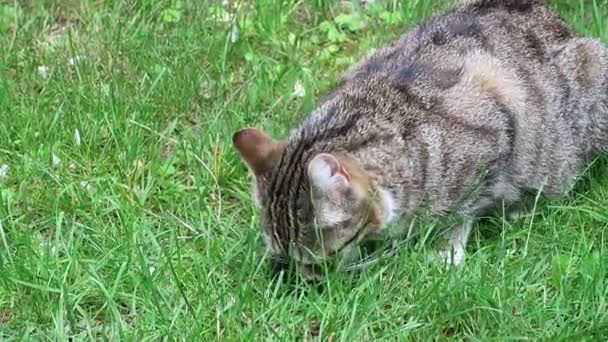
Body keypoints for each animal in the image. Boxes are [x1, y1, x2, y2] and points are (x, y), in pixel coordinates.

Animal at [230, 0, 604, 280]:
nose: (306, 281)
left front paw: (443, 251)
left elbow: (459, 213)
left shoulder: (490, 145)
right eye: (283, 255)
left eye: (317, 259)